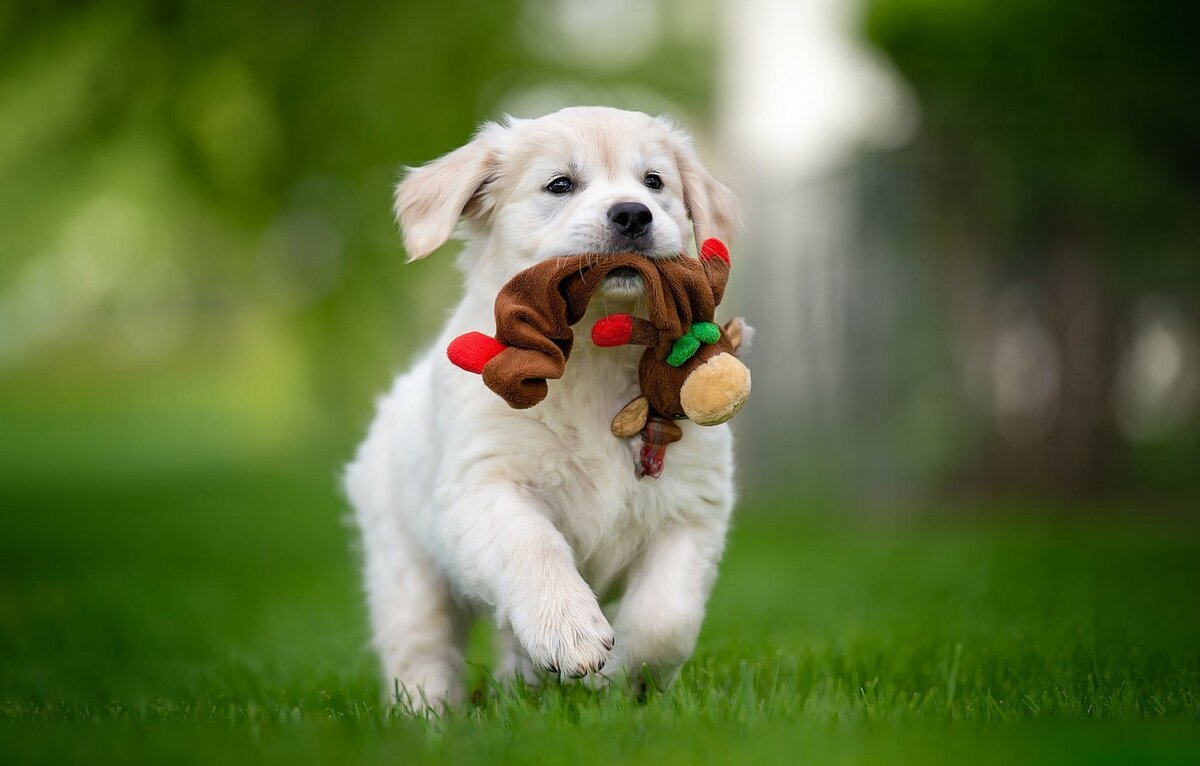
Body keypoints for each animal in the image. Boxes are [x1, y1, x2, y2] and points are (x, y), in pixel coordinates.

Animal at [343, 105, 739, 710]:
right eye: (560, 185)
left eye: (654, 182)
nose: (633, 213)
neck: (595, 353)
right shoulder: (480, 486)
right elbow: (532, 544)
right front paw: (569, 630)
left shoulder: (693, 507)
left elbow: (665, 620)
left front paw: (616, 675)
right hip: (404, 560)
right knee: (420, 647)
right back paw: (428, 714)